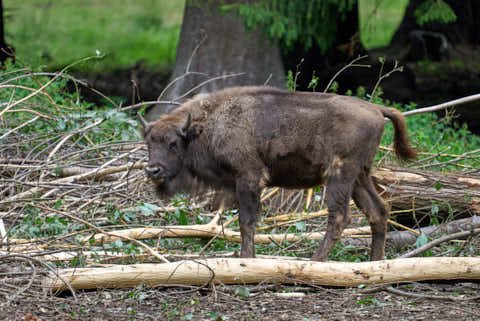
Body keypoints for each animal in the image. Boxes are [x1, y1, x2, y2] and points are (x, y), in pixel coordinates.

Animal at [139, 85, 416, 260]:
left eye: (174, 143)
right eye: (149, 143)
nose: (153, 170)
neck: (208, 125)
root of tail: (377, 109)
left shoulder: (249, 178)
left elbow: (246, 221)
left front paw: (246, 258)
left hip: (340, 175)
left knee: (339, 216)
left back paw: (316, 260)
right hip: (360, 176)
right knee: (377, 211)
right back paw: (375, 262)